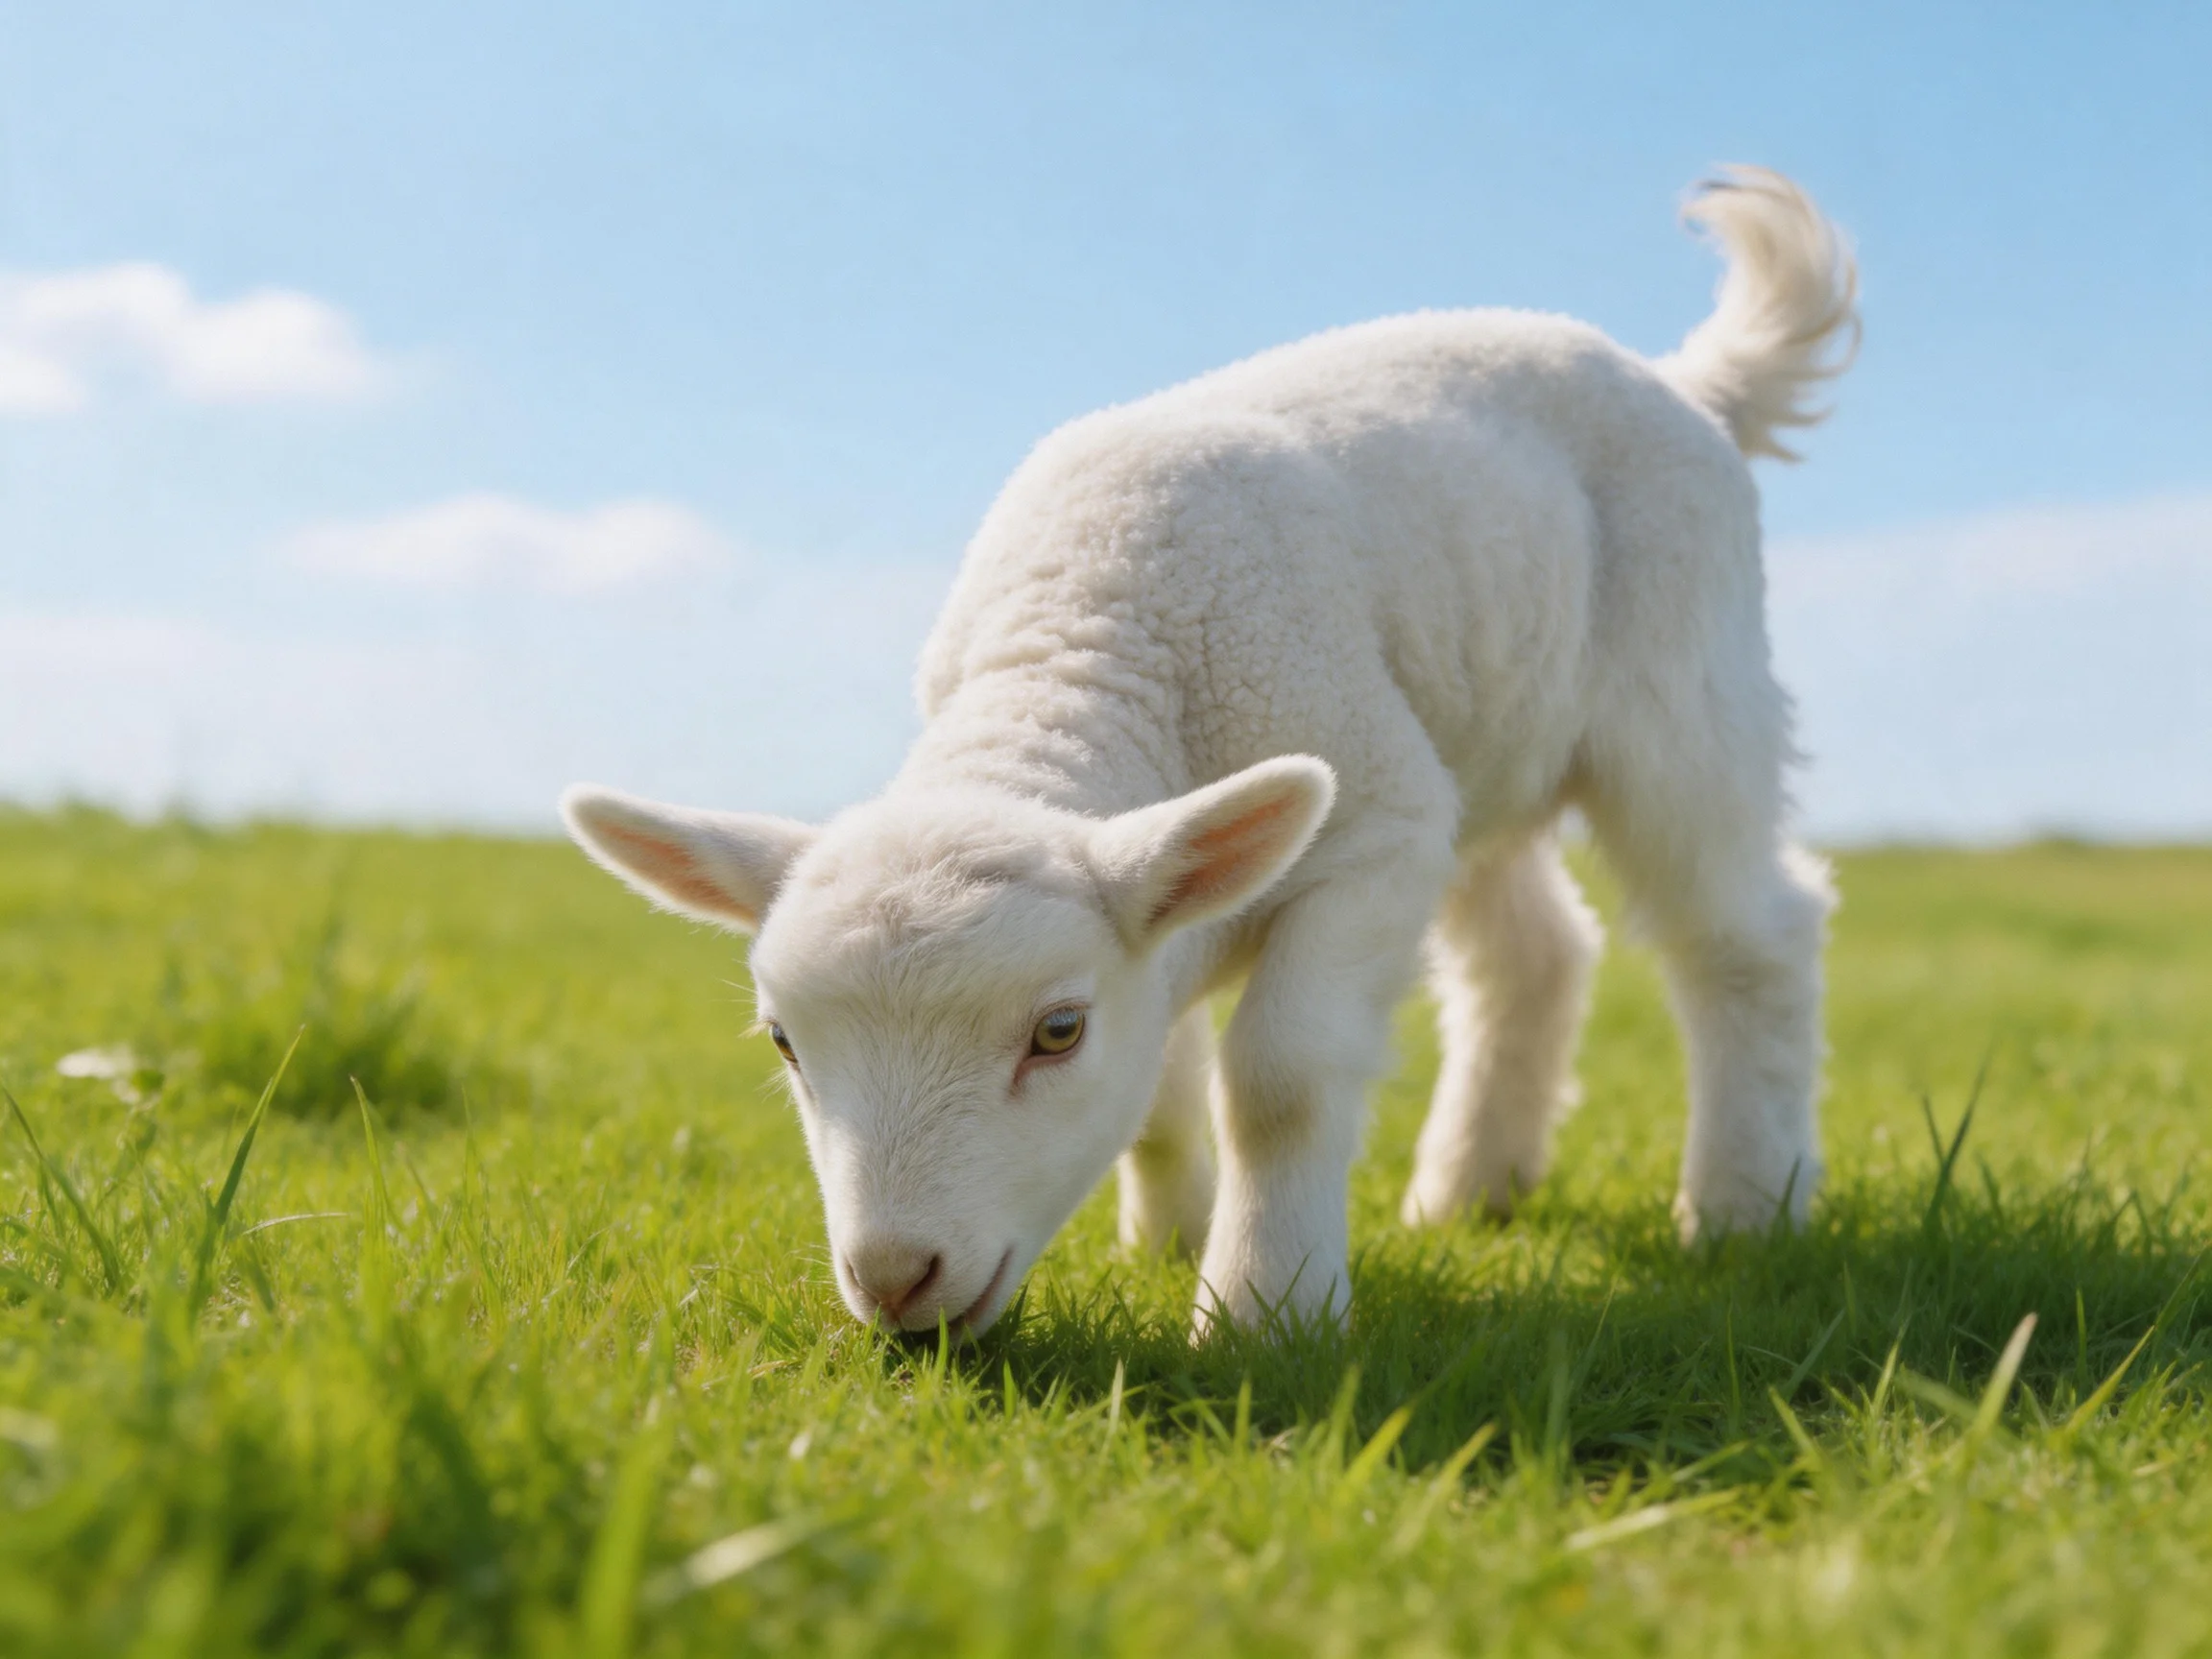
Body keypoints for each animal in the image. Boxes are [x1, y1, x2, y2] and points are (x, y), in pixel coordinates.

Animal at [563, 166, 1859, 1339]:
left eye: (1056, 1032)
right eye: (785, 1043)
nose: (893, 1281)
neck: (1076, 655)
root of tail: (1688, 382)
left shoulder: (1375, 827)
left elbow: (1280, 1080)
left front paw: (1262, 1313)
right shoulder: (1188, 886)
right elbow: (1163, 1097)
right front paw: (1172, 1239)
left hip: (1682, 675)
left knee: (1745, 933)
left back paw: (1742, 1208)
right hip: (1481, 731)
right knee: (1532, 952)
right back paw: (1471, 1191)